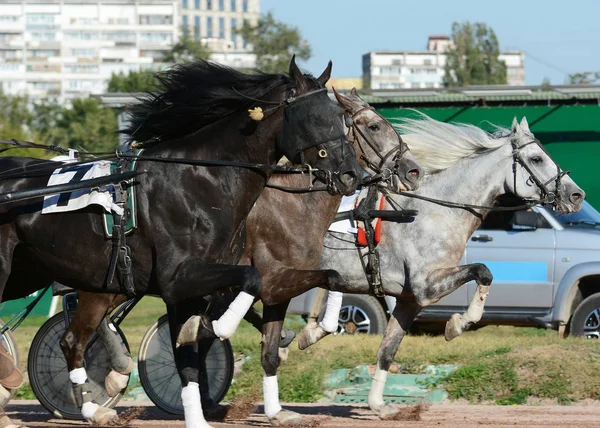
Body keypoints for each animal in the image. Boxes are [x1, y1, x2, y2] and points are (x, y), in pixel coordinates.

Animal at [0, 57, 360, 428]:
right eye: (314, 116)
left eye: (343, 120)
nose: (352, 175)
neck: (202, 179)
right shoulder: (180, 277)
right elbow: (250, 281)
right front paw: (220, 327)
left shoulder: (194, 287)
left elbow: (191, 354)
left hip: (56, 277)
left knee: (72, 341)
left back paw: (91, 409)